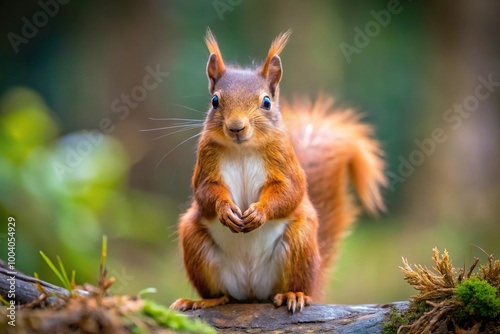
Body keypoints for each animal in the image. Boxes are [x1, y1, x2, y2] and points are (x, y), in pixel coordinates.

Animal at [170, 29, 384, 314]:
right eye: (215, 101)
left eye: (266, 102)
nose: (236, 127)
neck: (243, 149)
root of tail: (251, 291)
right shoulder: (205, 164)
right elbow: (205, 192)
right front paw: (224, 210)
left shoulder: (285, 162)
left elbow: (290, 191)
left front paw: (259, 212)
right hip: (194, 241)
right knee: (221, 293)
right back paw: (203, 300)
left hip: (299, 243)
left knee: (295, 284)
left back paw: (294, 294)